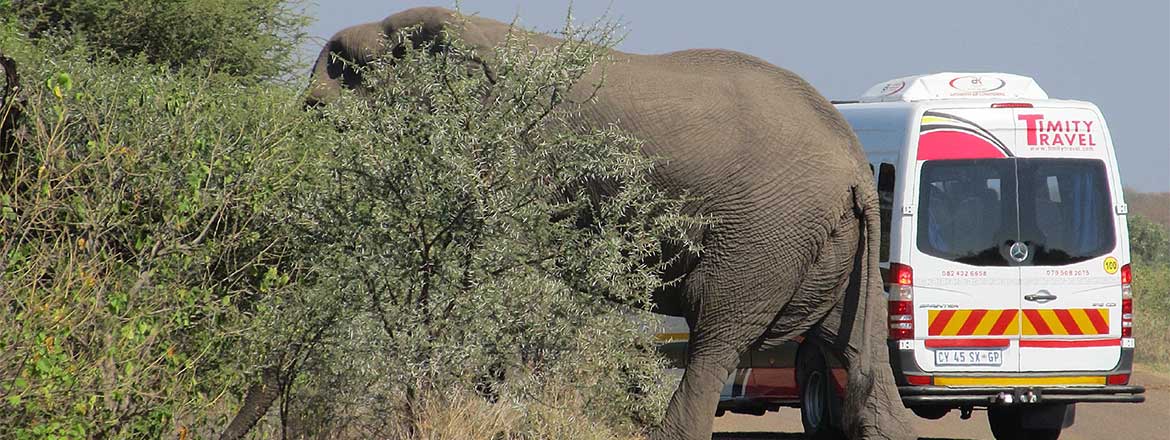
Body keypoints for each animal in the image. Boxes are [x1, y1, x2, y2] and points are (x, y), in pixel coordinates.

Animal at [297, 6, 917, 440]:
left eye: (342, 75)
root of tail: (854, 166)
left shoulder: (519, 157)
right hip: (831, 245)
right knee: (851, 347)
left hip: (764, 235)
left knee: (716, 332)